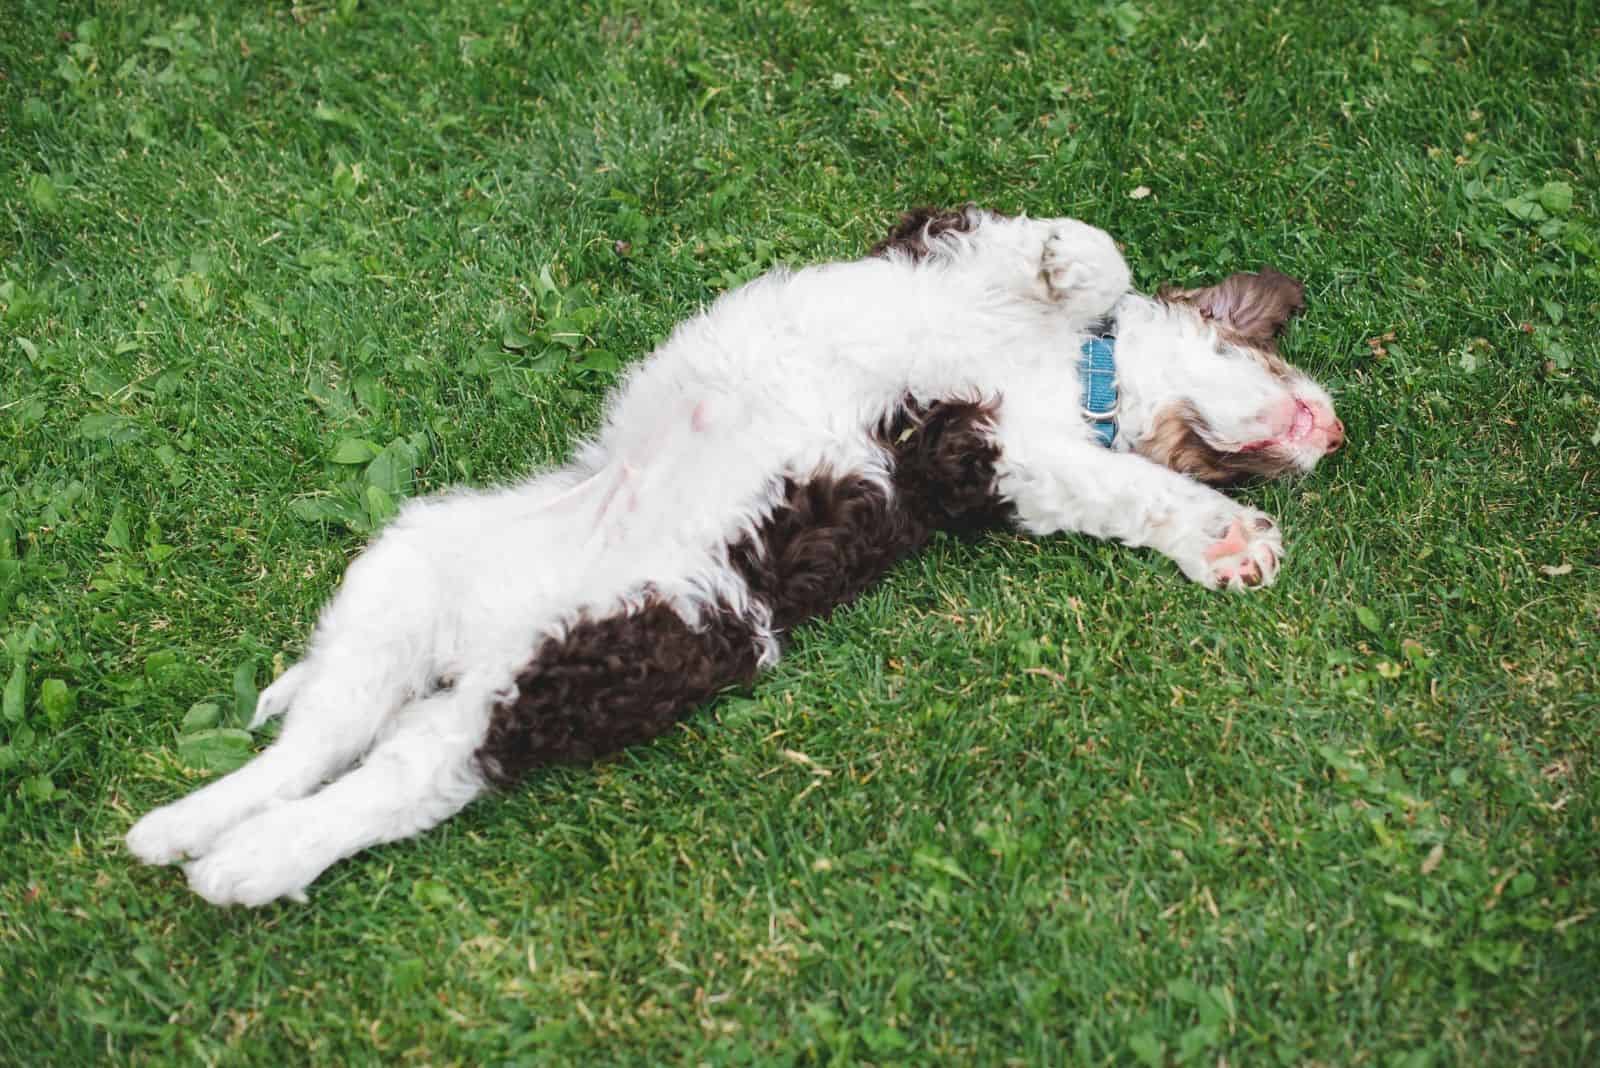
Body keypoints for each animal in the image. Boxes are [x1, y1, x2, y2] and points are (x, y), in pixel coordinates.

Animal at [131, 206, 1344, 901]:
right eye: (1268, 357)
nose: (1328, 434)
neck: (1066, 374)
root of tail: (475, 646)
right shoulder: (949, 300)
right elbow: (1088, 251)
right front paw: (1065, 257)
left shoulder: (988, 464)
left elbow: (1123, 490)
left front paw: (1225, 542)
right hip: (413, 565)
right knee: (325, 737)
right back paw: (188, 827)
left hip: (603, 649)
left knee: (404, 771)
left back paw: (239, 861)